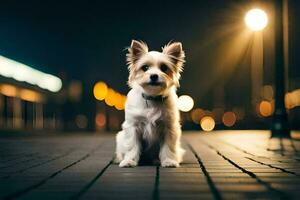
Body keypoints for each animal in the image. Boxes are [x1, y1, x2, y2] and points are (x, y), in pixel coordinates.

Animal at [115, 39, 185, 167]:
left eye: (164, 68)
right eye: (145, 67)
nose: (154, 76)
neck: (152, 97)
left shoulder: (169, 128)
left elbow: (168, 147)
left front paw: (169, 161)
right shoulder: (133, 127)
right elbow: (132, 146)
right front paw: (129, 161)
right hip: (120, 137)